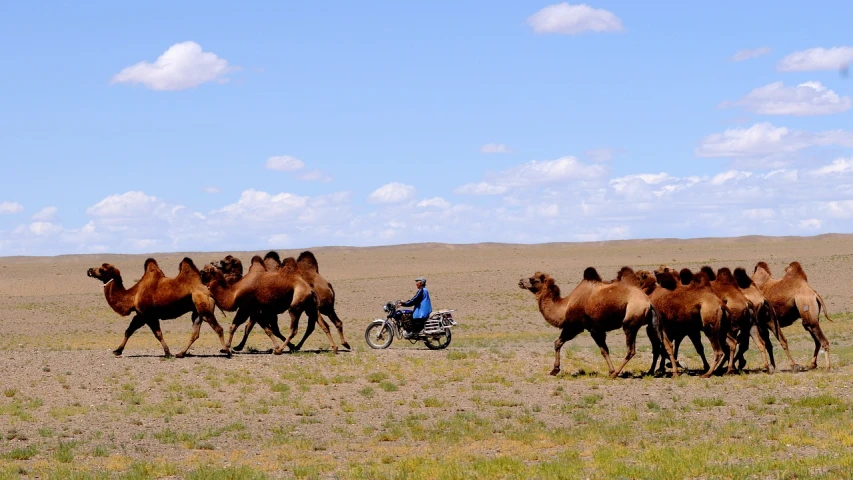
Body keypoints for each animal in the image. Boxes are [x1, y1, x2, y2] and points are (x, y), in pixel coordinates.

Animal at [86, 256, 230, 358]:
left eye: (102, 269)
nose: (90, 270)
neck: (133, 295)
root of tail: (208, 291)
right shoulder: (140, 314)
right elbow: (129, 330)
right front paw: (117, 351)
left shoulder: (149, 315)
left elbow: (158, 334)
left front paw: (167, 353)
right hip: (197, 311)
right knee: (195, 333)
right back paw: (180, 354)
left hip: (204, 307)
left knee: (218, 328)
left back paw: (227, 352)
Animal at [516, 268, 656, 376]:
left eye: (534, 279)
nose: (520, 281)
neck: (564, 307)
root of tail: (648, 302)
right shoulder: (589, 328)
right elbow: (558, 343)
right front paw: (554, 370)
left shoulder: (579, 327)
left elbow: (603, 350)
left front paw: (611, 371)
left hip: (630, 323)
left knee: (631, 349)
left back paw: (617, 373)